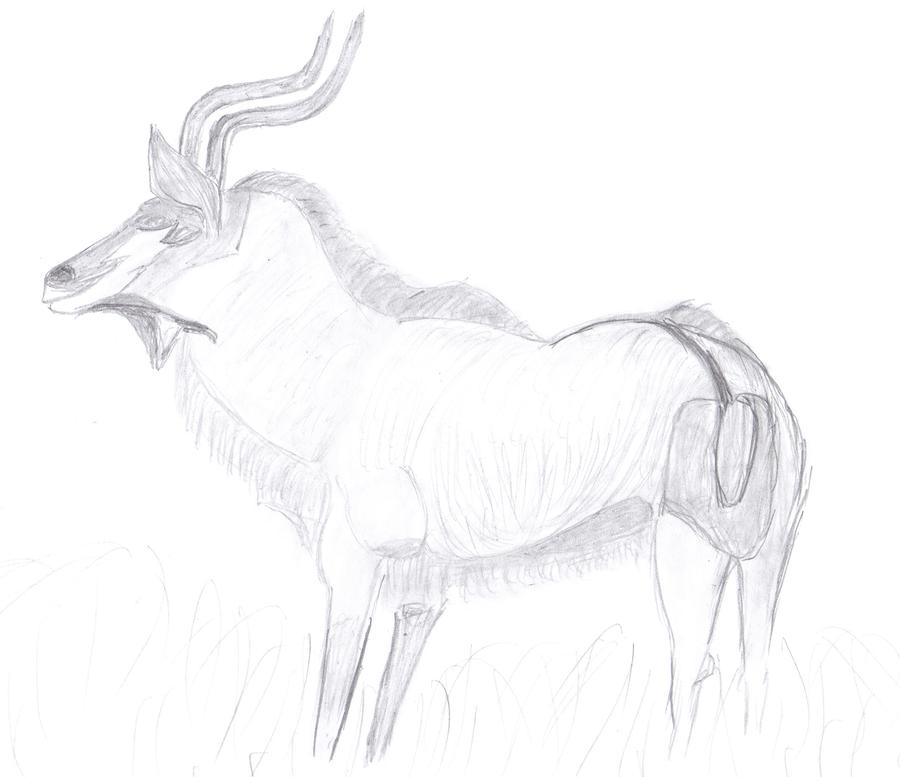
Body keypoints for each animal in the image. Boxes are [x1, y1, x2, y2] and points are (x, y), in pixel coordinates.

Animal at [42, 14, 807, 762]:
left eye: (165, 222)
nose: (57, 278)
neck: (349, 365)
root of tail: (734, 376)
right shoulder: (421, 595)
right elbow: (379, 724)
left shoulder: (355, 571)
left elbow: (331, 719)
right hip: (764, 559)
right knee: (753, 670)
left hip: (689, 550)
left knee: (691, 673)